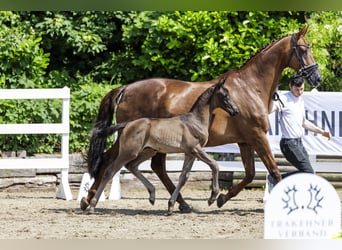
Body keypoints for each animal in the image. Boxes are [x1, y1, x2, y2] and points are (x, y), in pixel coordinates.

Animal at [86, 80, 238, 215]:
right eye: (225, 95)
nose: (235, 111)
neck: (194, 121)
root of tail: (127, 124)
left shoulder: (190, 153)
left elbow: (183, 177)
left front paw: (171, 206)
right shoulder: (196, 149)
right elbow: (214, 165)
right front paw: (212, 197)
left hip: (147, 151)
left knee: (132, 166)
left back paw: (152, 195)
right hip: (129, 152)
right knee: (110, 170)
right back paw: (92, 206)